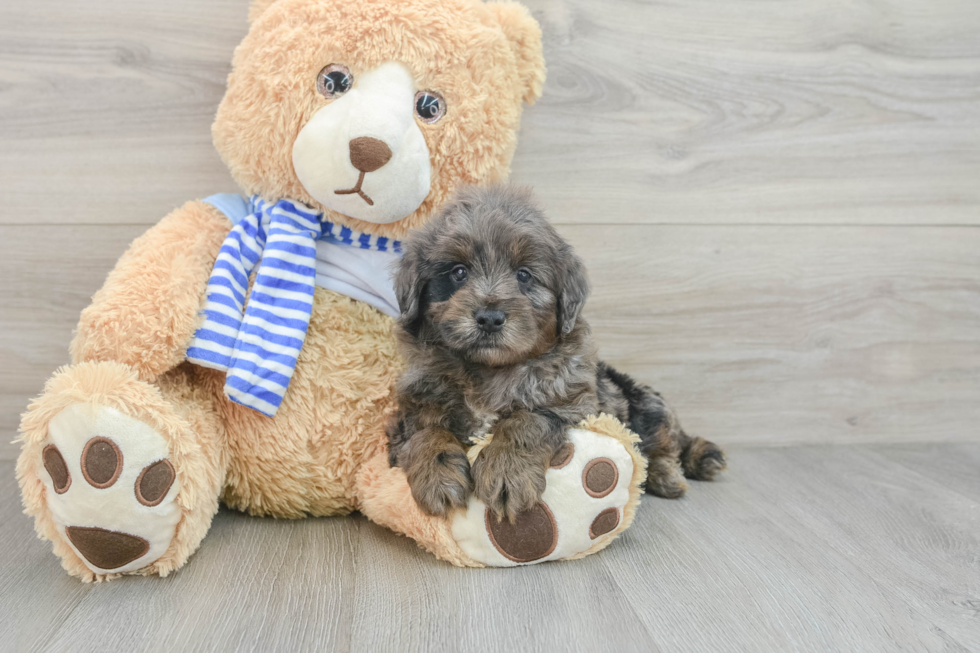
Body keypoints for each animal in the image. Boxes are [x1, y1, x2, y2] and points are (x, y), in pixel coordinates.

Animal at [386, 185, 724, 520]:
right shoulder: (414, 403)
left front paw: (507, 470)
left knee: (666, 443)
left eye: (524, 275)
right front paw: (437, 473)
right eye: (458, 272)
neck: (489, 370)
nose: (490, 318)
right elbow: (424, 431)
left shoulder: (572, 405)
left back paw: (669, 475)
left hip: (648, 404)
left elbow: (526, 419)